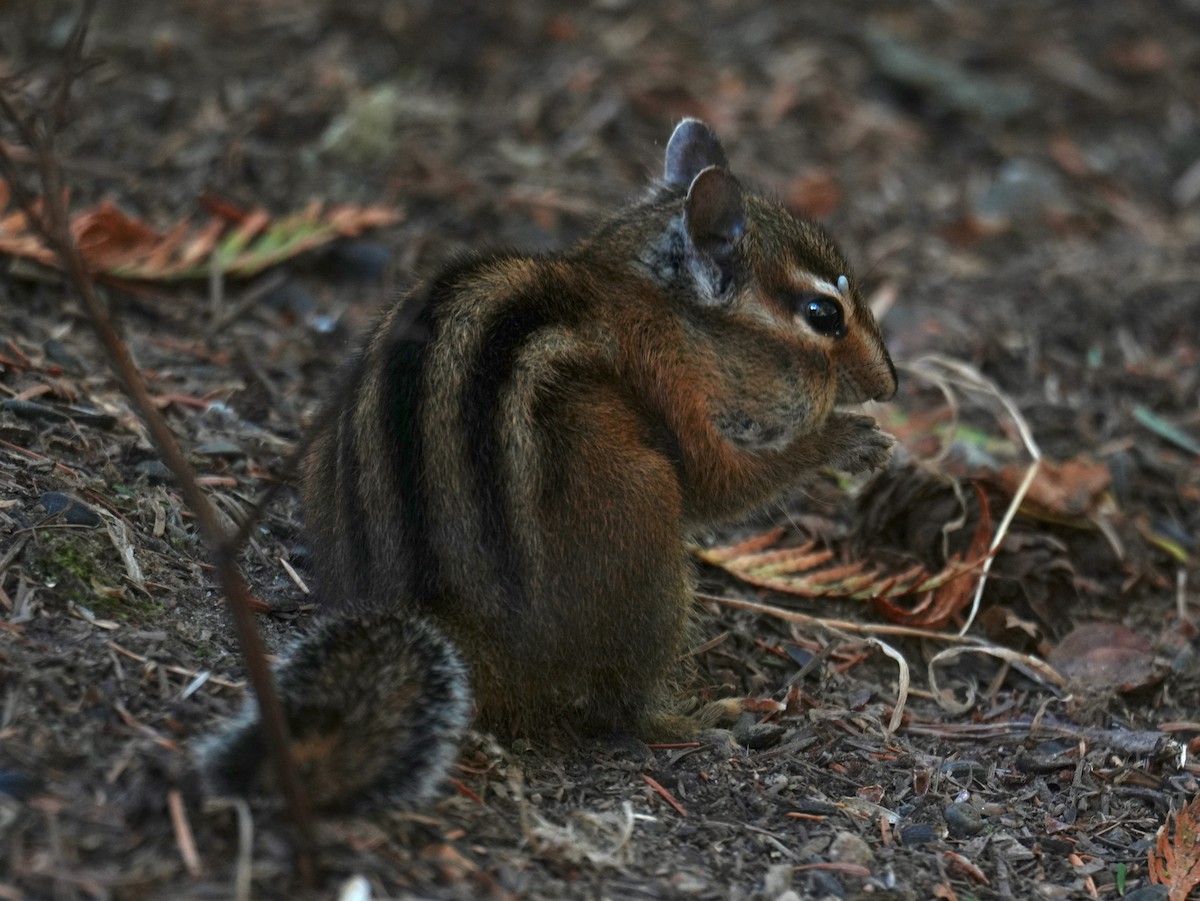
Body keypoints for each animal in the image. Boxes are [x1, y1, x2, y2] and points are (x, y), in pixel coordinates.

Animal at [199, 119, 898, 811]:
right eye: (823, 315)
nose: (889, 385)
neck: (656, 301)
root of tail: (451, 623)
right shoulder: (669, 383)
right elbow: (722, 483)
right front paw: (844, 440)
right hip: (643, 522)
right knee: (623, 706)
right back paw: (698, 720)